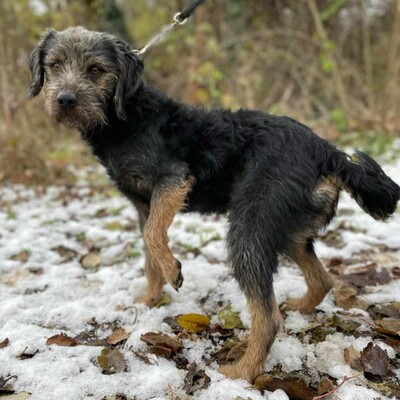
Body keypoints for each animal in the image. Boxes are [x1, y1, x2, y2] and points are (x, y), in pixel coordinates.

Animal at [28, 26, 400, 382]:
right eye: (55, 65)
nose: (65, 99)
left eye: (96, 70)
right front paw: (150, 299)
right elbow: (148, 252)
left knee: (268, 317)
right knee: (321, 280)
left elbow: (152, 235)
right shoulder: (143, 205)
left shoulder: (173, 180)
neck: (126, 116)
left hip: (249, 227)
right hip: (286, 229)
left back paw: (242, 372)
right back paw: (299, 309)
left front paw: (172, 271)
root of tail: (328, 153)